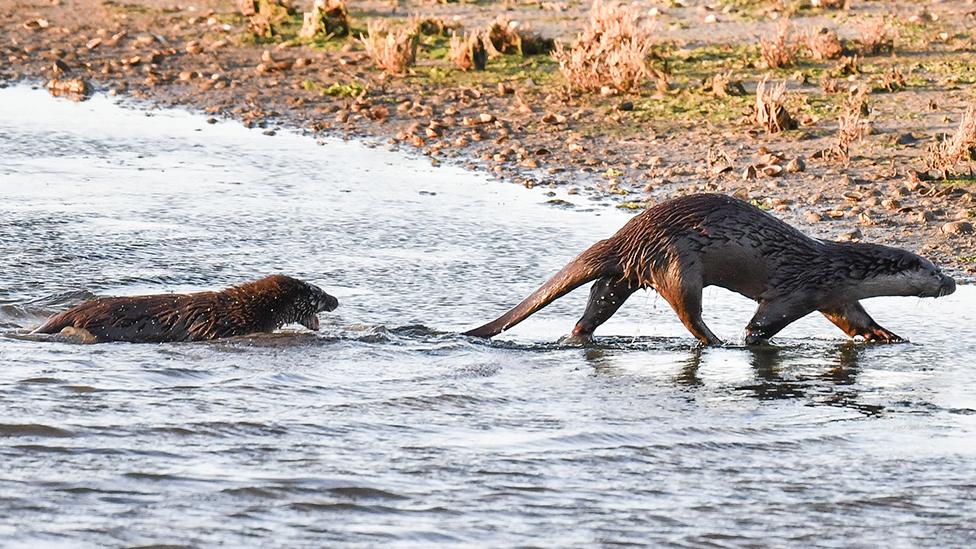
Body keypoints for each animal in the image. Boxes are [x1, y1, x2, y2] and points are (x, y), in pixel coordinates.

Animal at [464, 195, 952, 344]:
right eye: (932, 269)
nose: (951, 282)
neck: (834, 266)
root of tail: (626, 235)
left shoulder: (836, 297)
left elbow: (858, 322)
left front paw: (890, 337)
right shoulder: (798, 290)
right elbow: (764, 320)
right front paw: (751, 341)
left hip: (625, 276)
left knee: (597, 303)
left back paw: (578, 336)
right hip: (677, 265)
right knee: (688, 312)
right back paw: (716, 342)